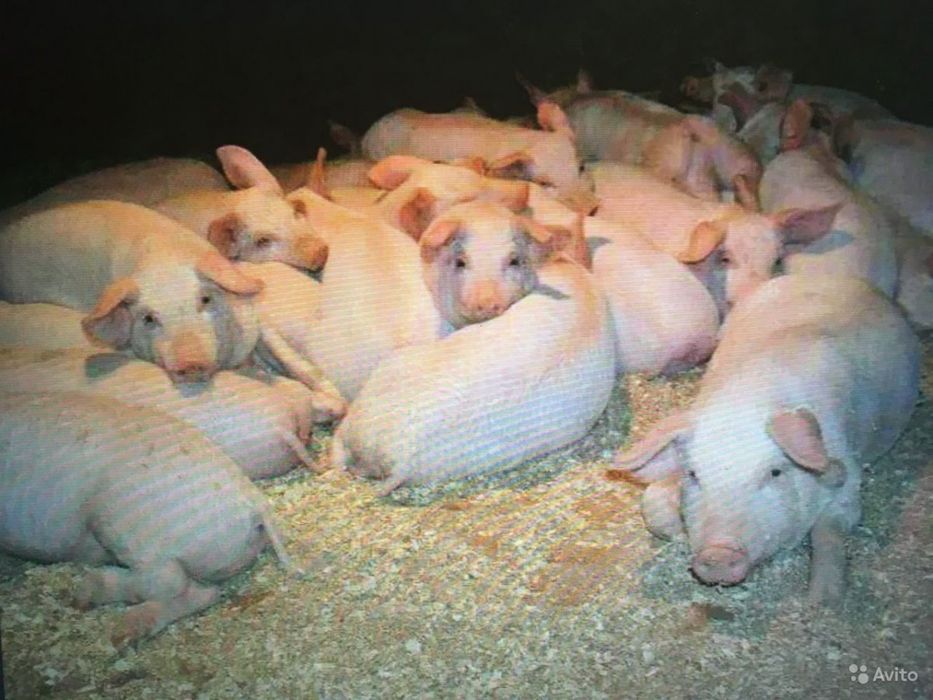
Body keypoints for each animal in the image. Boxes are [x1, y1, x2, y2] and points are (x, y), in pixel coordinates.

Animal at [614, 273, 921, 605]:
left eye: (774, 473)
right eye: (693, 474)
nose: (719, 553)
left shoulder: (849, 475)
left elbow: (829, 530)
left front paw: (821, 601)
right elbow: (651, 501)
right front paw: (680, 535)